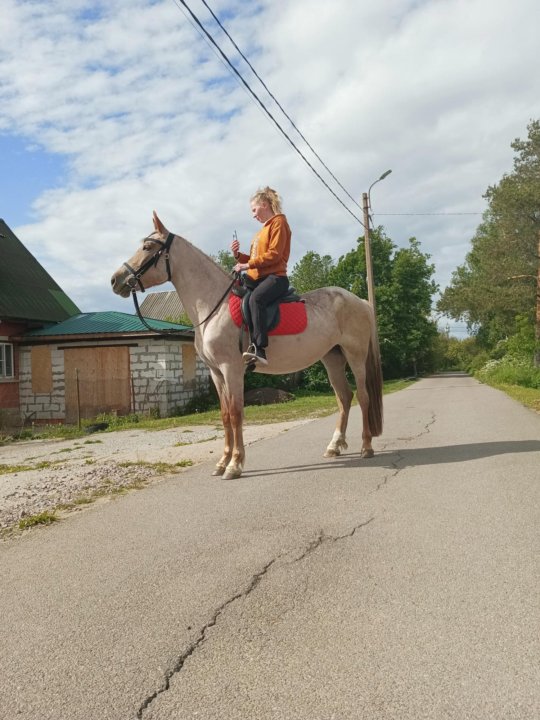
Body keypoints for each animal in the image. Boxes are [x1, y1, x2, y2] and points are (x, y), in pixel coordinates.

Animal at [109, 211, 382, 480]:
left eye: (147, 247)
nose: (115, 280)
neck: (214, 306)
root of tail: (360, 300)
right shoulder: (216, 373)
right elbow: (224, 415)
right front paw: (222, 462)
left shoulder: (232, 369)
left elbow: (236, 413)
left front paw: (235, 464)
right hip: (332, 358)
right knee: (344, 397)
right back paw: (334, 446)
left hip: (355, 357)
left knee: (363, 397)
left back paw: (366, 447)